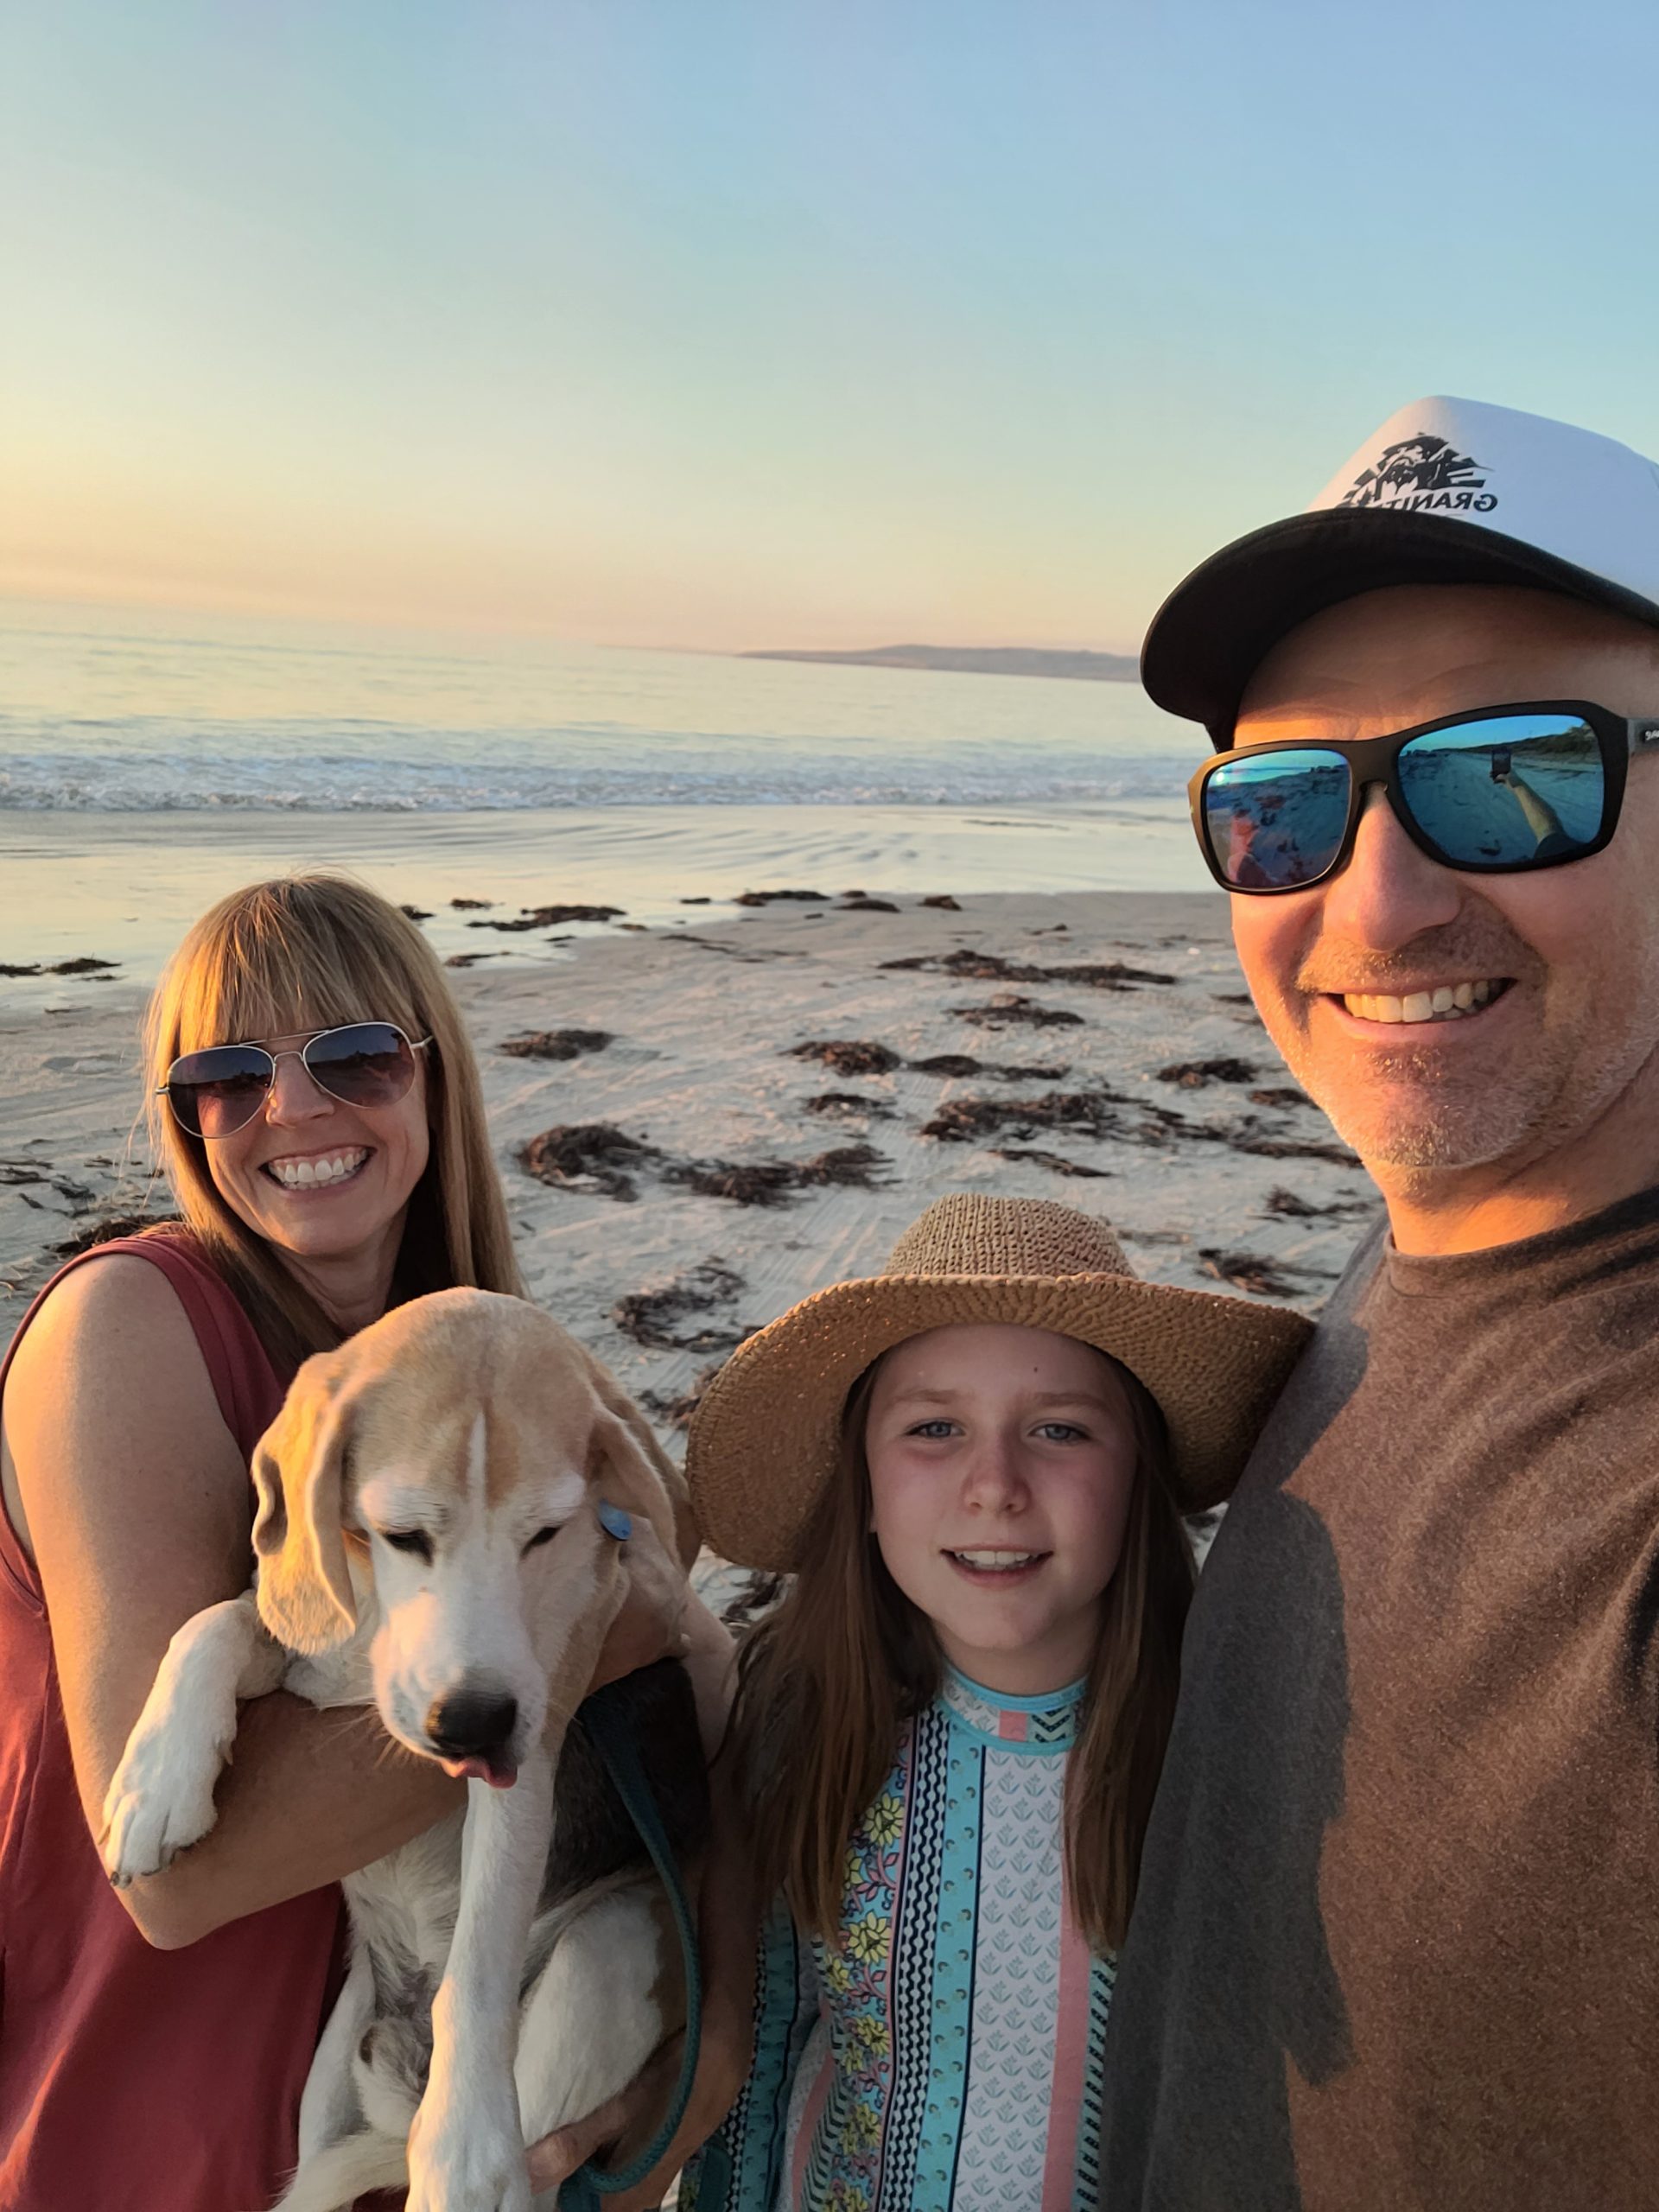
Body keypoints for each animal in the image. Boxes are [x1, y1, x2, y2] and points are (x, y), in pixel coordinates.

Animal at [97, 1292, 708, 2212]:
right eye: (402, 1533)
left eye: (548, 1533)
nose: (471, 1726)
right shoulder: (305, 1654)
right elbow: (219, 1620)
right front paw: (156, 1783)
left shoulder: (532, 1741)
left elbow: (480, 1955)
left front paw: (464, 2145)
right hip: (328, 2088)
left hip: (602, 1960)